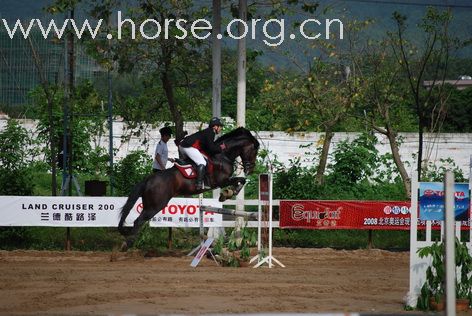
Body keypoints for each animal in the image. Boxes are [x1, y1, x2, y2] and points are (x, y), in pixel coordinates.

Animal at [117, 127, 258, 251]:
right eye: (254, 151)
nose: (250, 170)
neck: (222, 155)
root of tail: (148, 180)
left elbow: (241, 180)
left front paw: (227, 193)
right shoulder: (221, 181)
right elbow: (241, 180)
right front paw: (228, 193)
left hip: (149, 204)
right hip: (154, 206)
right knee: (138, 221)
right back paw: (127, 244)